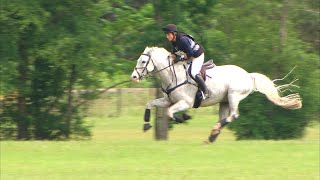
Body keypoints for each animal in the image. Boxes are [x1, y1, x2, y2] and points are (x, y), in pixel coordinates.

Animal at [130, 46, 302, 143]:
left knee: (233, 116)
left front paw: (183, 118)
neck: (173, 75)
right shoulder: (168, 100)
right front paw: (146, 125)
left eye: (143, 62)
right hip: (224, 101)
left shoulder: (185, 102)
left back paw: (214, 131)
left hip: (233, 96)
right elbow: (150, 103)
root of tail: (248, 75)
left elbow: (169, 113)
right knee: (225, 117)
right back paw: (212, 135)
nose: (134, 77)